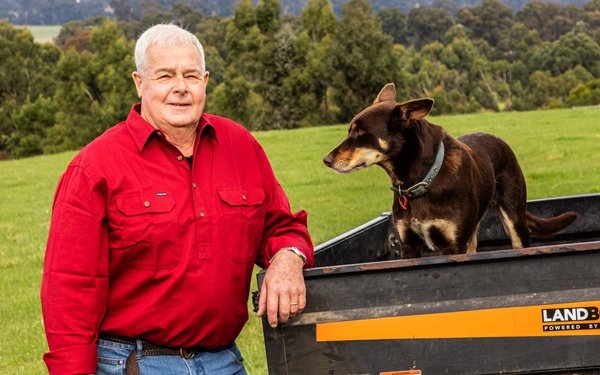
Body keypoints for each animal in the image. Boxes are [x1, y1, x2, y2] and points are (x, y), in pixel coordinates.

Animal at [324, 83, 576, 258]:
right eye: (349, 130)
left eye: (359, 132)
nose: (326, 160)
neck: (419, 181)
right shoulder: (409, 245)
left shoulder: (453, 245)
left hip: (514, 218)